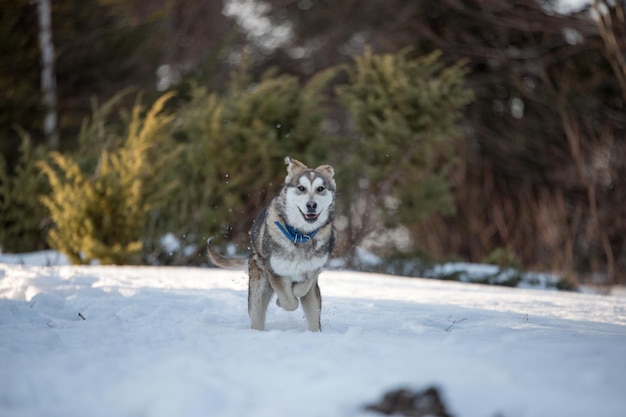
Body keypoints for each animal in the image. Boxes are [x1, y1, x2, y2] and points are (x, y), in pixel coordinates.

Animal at [206, 156, 334, 332]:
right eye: (301, 188)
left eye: (320, 188)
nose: (311, 205)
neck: (300, 235)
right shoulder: (275, 271)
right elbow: (289, 301)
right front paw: (282, 300)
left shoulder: (314, 269)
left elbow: (303, 287)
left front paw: (295, 290)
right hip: (258, 290)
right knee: (257, 315)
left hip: (313, 302)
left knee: (313, 314)